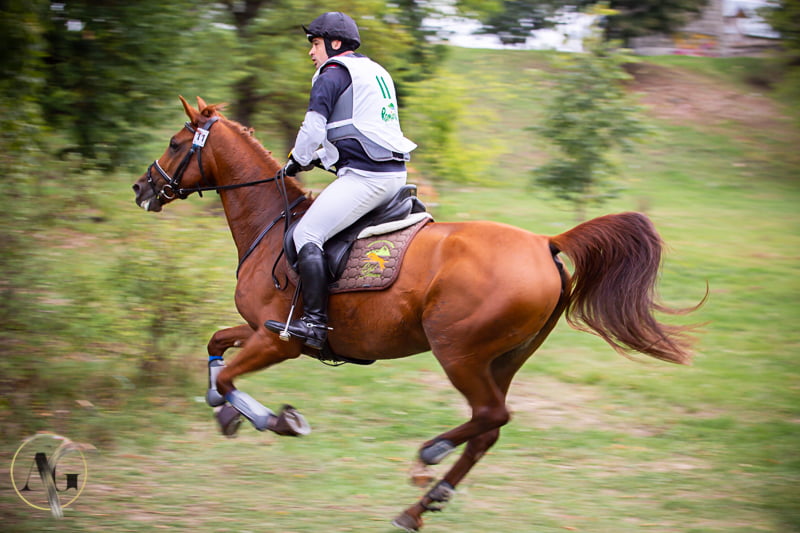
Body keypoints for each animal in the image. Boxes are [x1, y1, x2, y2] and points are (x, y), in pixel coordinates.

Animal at [132, 96, 701, 532]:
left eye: (177, 143)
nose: (142, 188)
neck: (273, 224)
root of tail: (544, 242)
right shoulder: (259, 330)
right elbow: (215, 346)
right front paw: (224, 411)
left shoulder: (281, 340)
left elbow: (230, 374)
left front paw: (275, 419)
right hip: (504, 358)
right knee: (490, 425)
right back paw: (421, 504)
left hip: (459, 352)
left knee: (490, 415)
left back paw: (430, 456)